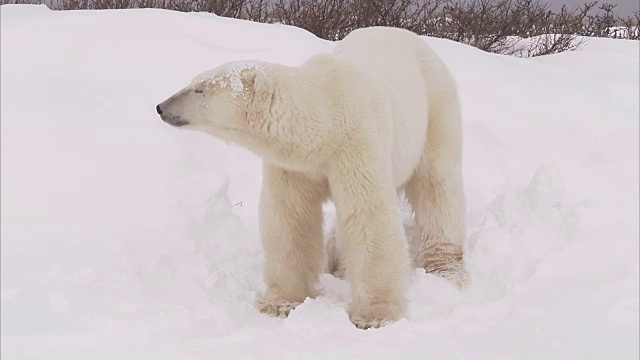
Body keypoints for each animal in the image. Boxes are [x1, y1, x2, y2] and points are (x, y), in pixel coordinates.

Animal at [155, 26, 464, 328]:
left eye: (200, 89)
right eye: (194, 82)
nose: (161, 107)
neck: (327, 119)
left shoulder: (358, 143)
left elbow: (368, 213)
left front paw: (375, 315)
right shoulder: (295, 166)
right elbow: (290, 215)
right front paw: (281, 303)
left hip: (435, 108)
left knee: (437, 183)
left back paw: (447, 269)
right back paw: (340, 266)